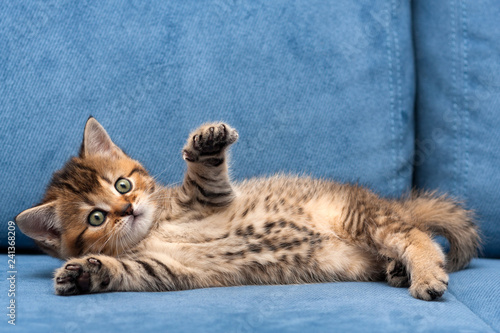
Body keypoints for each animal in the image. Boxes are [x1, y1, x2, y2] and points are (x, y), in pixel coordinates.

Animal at [14, 117, 480, 300]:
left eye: (122, 184)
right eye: (96, 217)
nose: (127, 209)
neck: (154, 228)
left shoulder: (210, 198)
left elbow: (205, 176)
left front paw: (206, 143)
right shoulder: (163, 268)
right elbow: (123, 271)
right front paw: (83, 273)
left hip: (360, 216)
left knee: (414, 235)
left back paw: (424, 274)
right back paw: (399, 270)